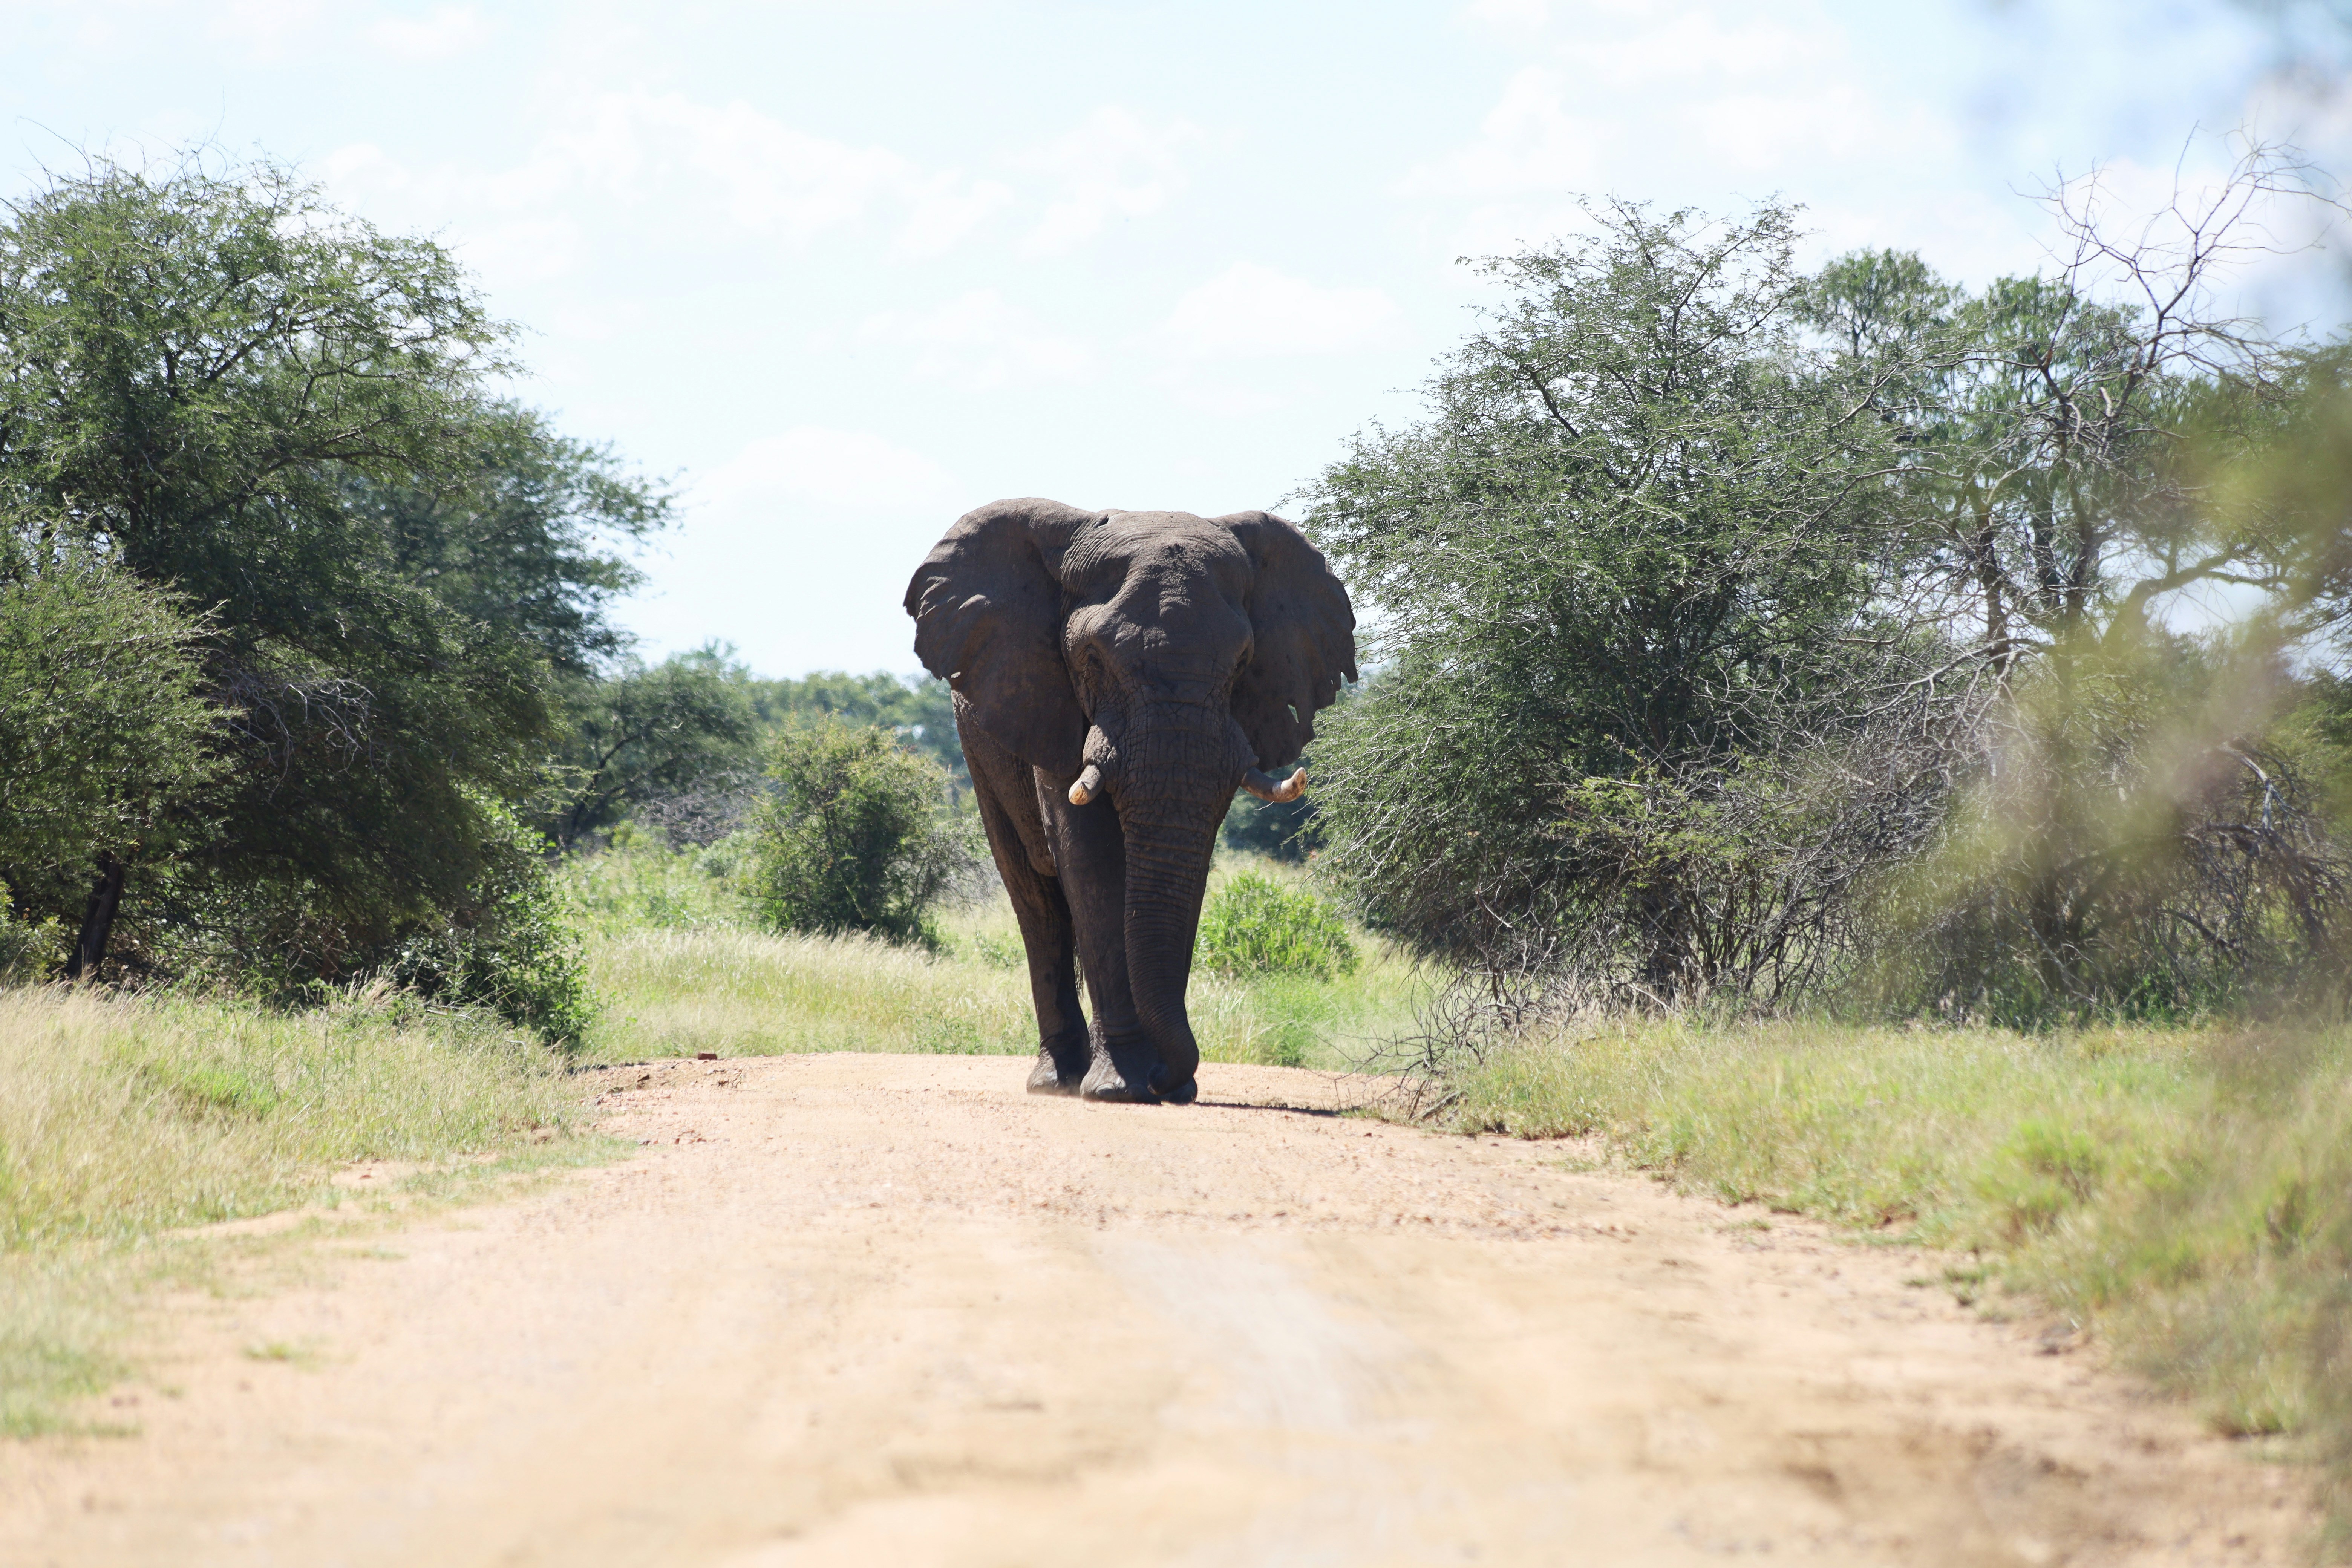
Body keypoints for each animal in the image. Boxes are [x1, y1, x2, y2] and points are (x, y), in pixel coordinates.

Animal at [904, 498, 1357, 1104]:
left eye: (1243, 661)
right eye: (1092, 657)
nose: (1170, 1078)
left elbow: (1185, 869)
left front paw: (1167, 1085)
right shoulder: (1048, 703)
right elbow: (1091, 860)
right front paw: (1122, 1086)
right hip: (977, 742)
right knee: (1035, 898)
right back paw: (1057, 1080)